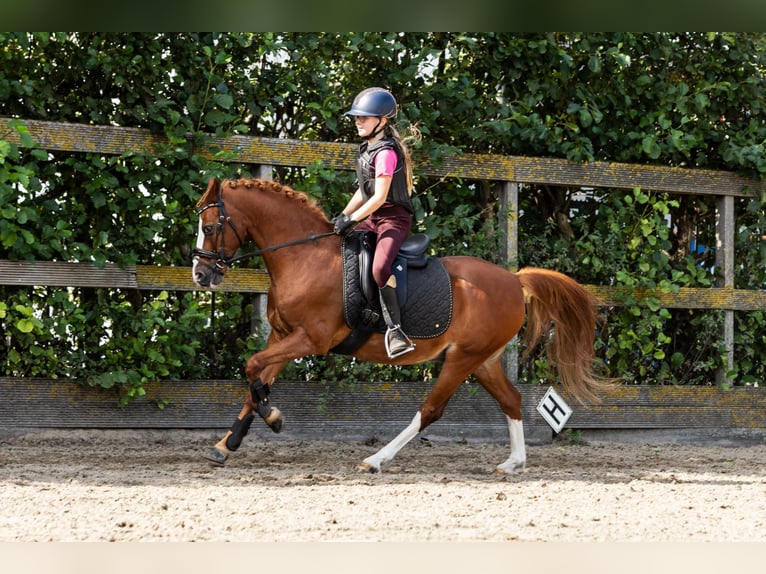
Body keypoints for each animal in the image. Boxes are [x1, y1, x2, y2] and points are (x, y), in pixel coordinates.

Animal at [189, 178, 608, 474]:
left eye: (209, 227)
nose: (200, 275)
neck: (305, 257)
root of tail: (514, 280)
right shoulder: (282, 335)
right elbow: (256, 378)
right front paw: (226, 445)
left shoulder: (310, 339)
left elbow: (253, 368)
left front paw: (273, 419)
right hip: (483, 360)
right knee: (512, 400)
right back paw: (512, 463)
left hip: (462, 359)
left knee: (431, 410)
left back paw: (376, 459)